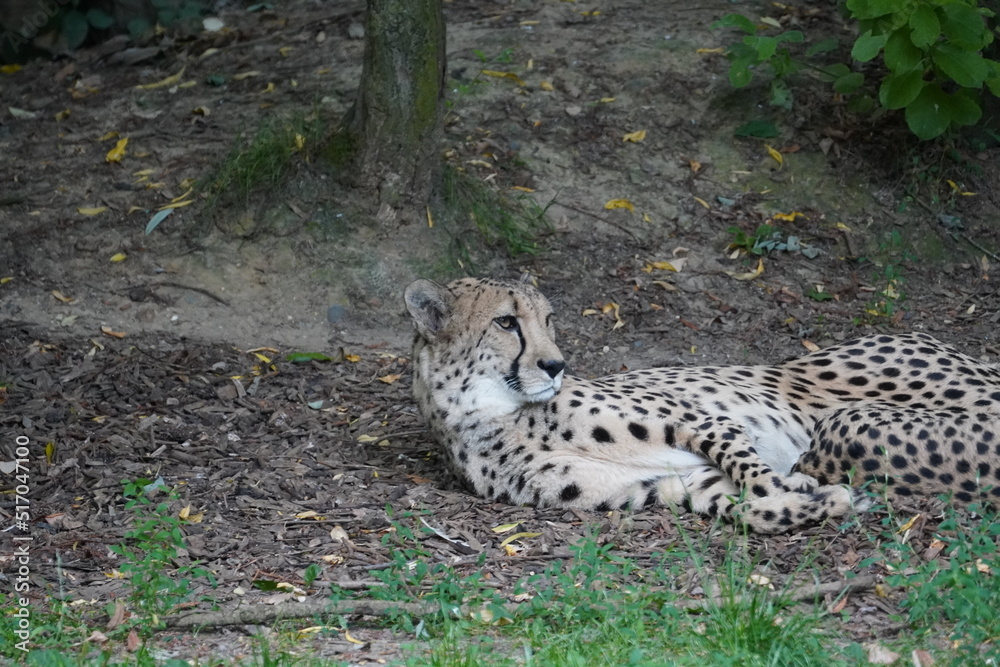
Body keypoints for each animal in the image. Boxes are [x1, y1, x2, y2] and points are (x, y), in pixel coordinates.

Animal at [403, 276, 1000, 533]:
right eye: (507, 322)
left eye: (548, 320)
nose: (556, 365)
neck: (492, 410)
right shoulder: (659, 487)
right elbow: (741, 506)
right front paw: (816, 502)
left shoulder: (702, 419)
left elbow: (751, 469)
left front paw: (797, 485)